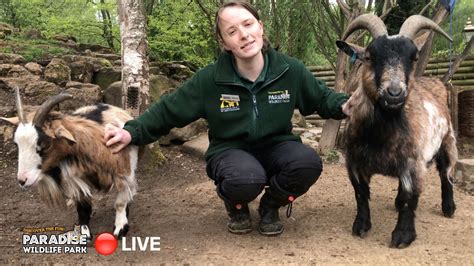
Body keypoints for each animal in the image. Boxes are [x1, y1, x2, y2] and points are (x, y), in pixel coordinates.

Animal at [1, 89, 139, 239]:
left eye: (44, 145)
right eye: (16, 144)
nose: (22, 180)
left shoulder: (124, 173)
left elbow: (120, 202)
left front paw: (120, 228)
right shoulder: (74, 178)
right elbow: (83, 208)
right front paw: (83, 233)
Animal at [336, 14, 458, 247]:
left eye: (414, 57)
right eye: (369, 56)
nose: (394, 93)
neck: (381, 135)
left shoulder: (414, 164)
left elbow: (411, 199)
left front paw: (402, 236)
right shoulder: (354, 162)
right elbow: (361, 194)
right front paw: (361, 226)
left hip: (447, 141)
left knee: (446, 174)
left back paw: (449, 208)